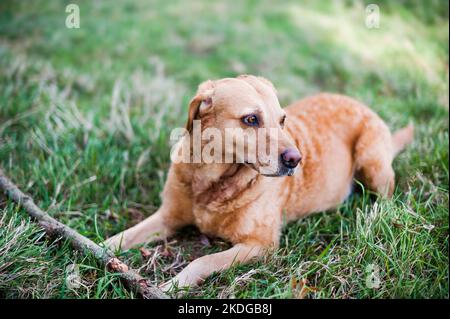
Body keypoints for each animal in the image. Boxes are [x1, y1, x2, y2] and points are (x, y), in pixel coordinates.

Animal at [103, 74, 414, 292]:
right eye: (251, 119)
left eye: (282, 120)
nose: (296, 159)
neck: (213, 180)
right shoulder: (166, 218)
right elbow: (121, 238)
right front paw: (100, 252)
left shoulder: (260, 245)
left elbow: (202, 260)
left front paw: (173, 286)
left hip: (372, 162)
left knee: (387, 198)